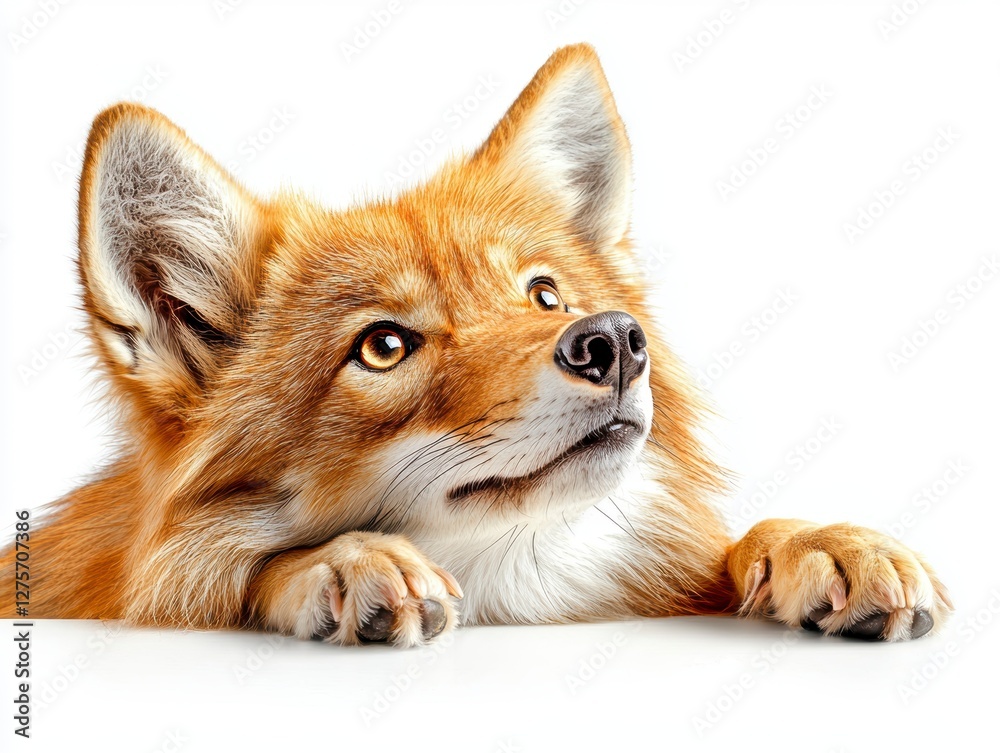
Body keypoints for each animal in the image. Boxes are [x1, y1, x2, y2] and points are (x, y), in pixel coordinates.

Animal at [1, 43, 952, 645]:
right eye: (384, 346)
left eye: (544, 295)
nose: (611, 342)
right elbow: (226, 577)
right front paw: (342, 561)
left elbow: (738, 542)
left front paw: (820, 541)